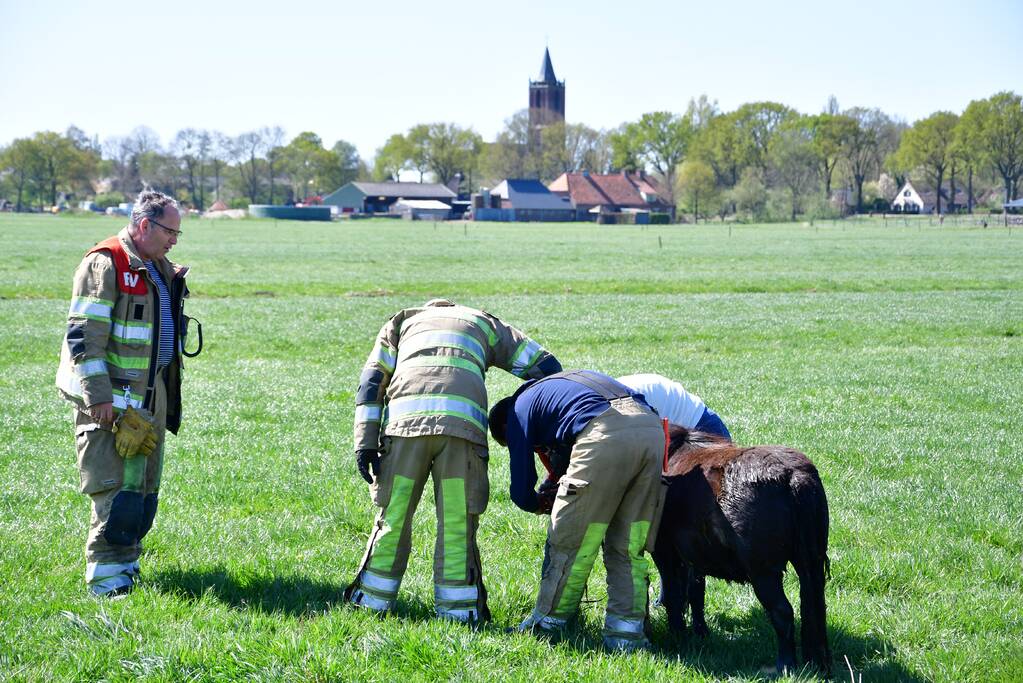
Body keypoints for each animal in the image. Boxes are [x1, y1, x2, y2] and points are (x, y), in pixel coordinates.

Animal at [653, 426, 831, 675]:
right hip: (811, 565)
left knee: (783, 612)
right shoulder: (695, 556)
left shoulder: (664, 552)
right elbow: (696, 592)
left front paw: (678, 636)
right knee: (815, 608)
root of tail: (795, 476)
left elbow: (673, 596)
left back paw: (785, 665)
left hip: (763, 573)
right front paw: (700, 633)